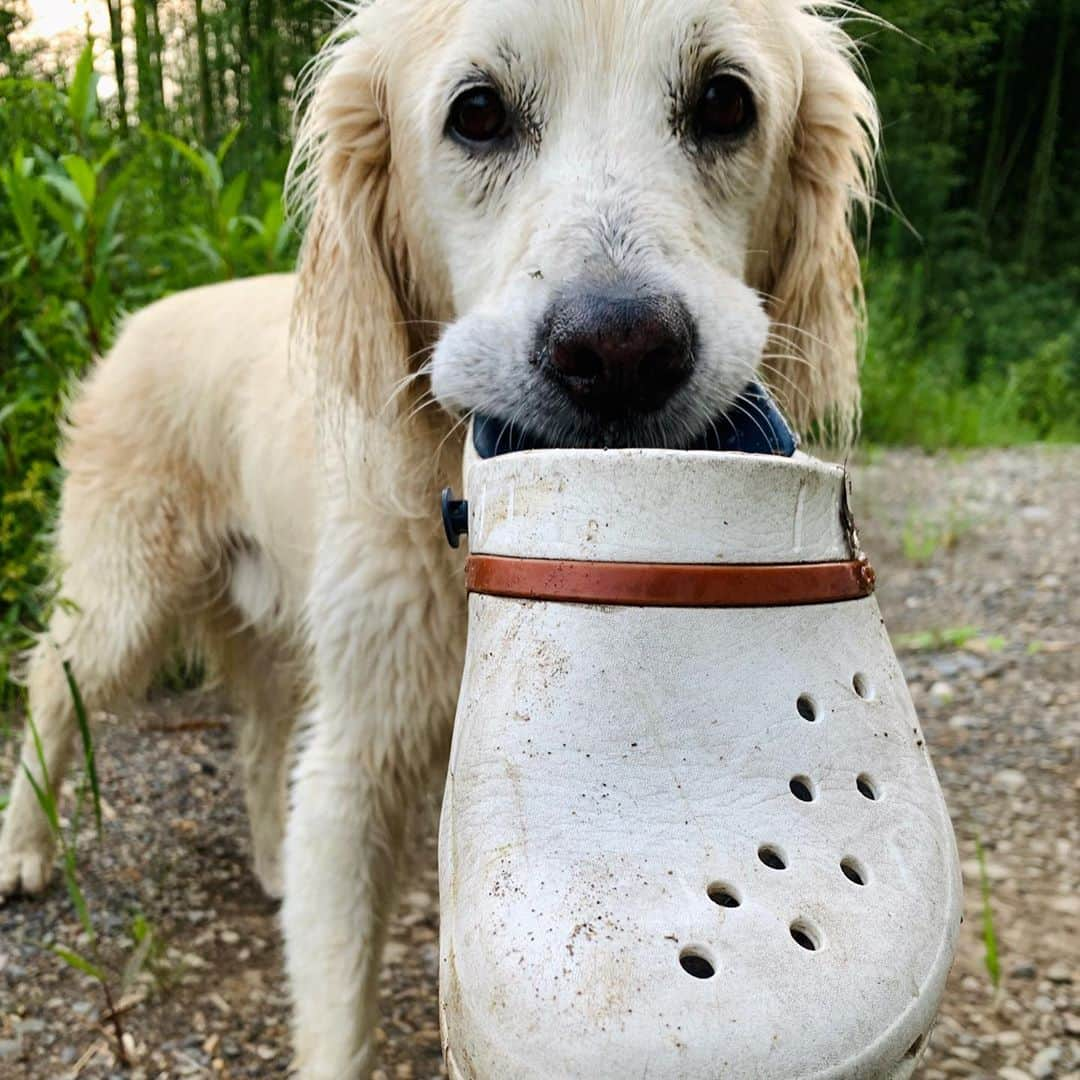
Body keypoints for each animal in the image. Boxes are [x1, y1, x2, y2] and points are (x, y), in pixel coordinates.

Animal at [2, 2, 876, 1071]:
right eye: (479, 112)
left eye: (724, 102)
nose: (621, 353)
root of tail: (135, 322)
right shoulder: (358, 756)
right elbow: (340, 1015)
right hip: (122, 596)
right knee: (52, 689)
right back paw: (23, 850)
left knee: (254, 733)